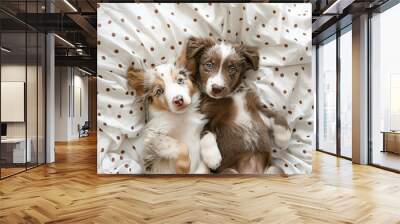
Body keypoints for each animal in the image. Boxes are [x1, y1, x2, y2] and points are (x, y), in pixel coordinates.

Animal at [186, 36, 292, 174]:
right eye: (209, 65)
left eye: (232, 68)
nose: (217, 88)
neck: (231, 95)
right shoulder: (207, 116)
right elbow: (205, 132)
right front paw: (213, 159)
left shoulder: (256, 106)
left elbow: (277, 114)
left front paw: (283, 138)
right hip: (229, 172)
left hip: (274, 170)